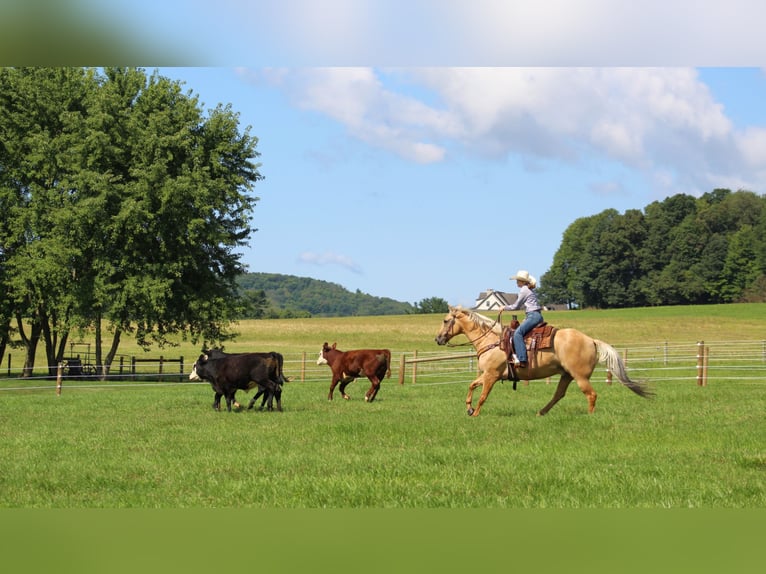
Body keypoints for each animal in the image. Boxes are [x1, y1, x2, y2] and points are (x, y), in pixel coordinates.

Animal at [436, 306, 652, 418]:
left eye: (446, 320)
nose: (438, 339)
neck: (493, 340)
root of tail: (591, 340)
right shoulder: (491, 375)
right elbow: (472, 385)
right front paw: (469, 407)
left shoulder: (491, 375)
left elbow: (483, 395)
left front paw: (475, 413)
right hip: (566, 375)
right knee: (558, 395)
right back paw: (541, 412)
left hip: (580, 376)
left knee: (591, 394)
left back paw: (589, 415)